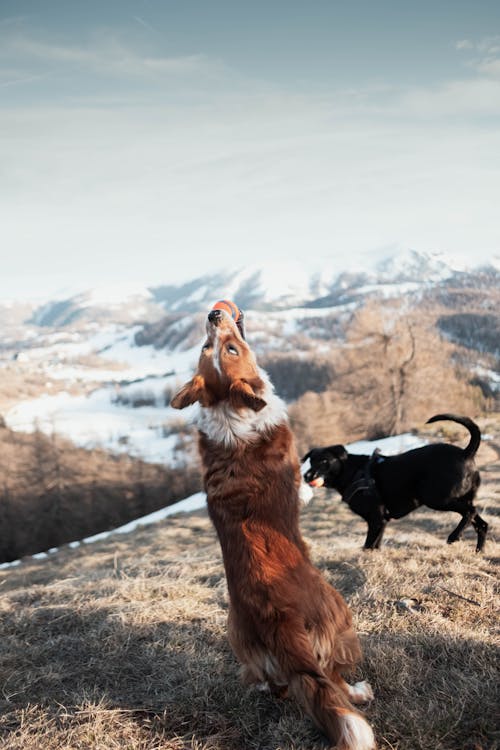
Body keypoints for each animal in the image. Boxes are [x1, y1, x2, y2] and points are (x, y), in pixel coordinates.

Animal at [171, 304, 376, 750]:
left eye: (216, 348)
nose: (214, 314)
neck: (231, 413)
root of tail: (275, 617)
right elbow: (304, 489)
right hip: (341, 615)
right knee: (331, 679)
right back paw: (358, 692)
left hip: (242, 641)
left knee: (283, 686)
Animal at [300, 414, 488, 556]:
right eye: (311, 461)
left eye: (324, 461)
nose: (307, 476)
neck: (352, 471)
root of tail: (466, 453)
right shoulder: (381, 521)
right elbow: (375, 545)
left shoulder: (376, 518)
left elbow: (368, 544)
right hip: (456, 499)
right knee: (482, 524)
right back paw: (479, 552)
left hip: (437, 498)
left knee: (470, 511)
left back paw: (454, 536)